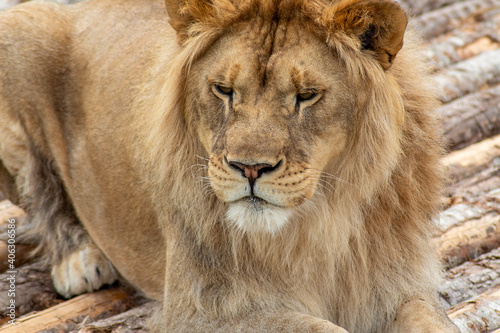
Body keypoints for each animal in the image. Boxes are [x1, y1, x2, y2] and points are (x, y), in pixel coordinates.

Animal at [0, 0, 460, 330]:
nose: (250, 169)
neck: (319, 222)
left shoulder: (397, 282)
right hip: (20, 32)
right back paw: (78, 259)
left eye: (306, 95)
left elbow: (431, 321)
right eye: (223, 90)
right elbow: (319, 327)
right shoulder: (204, 308)